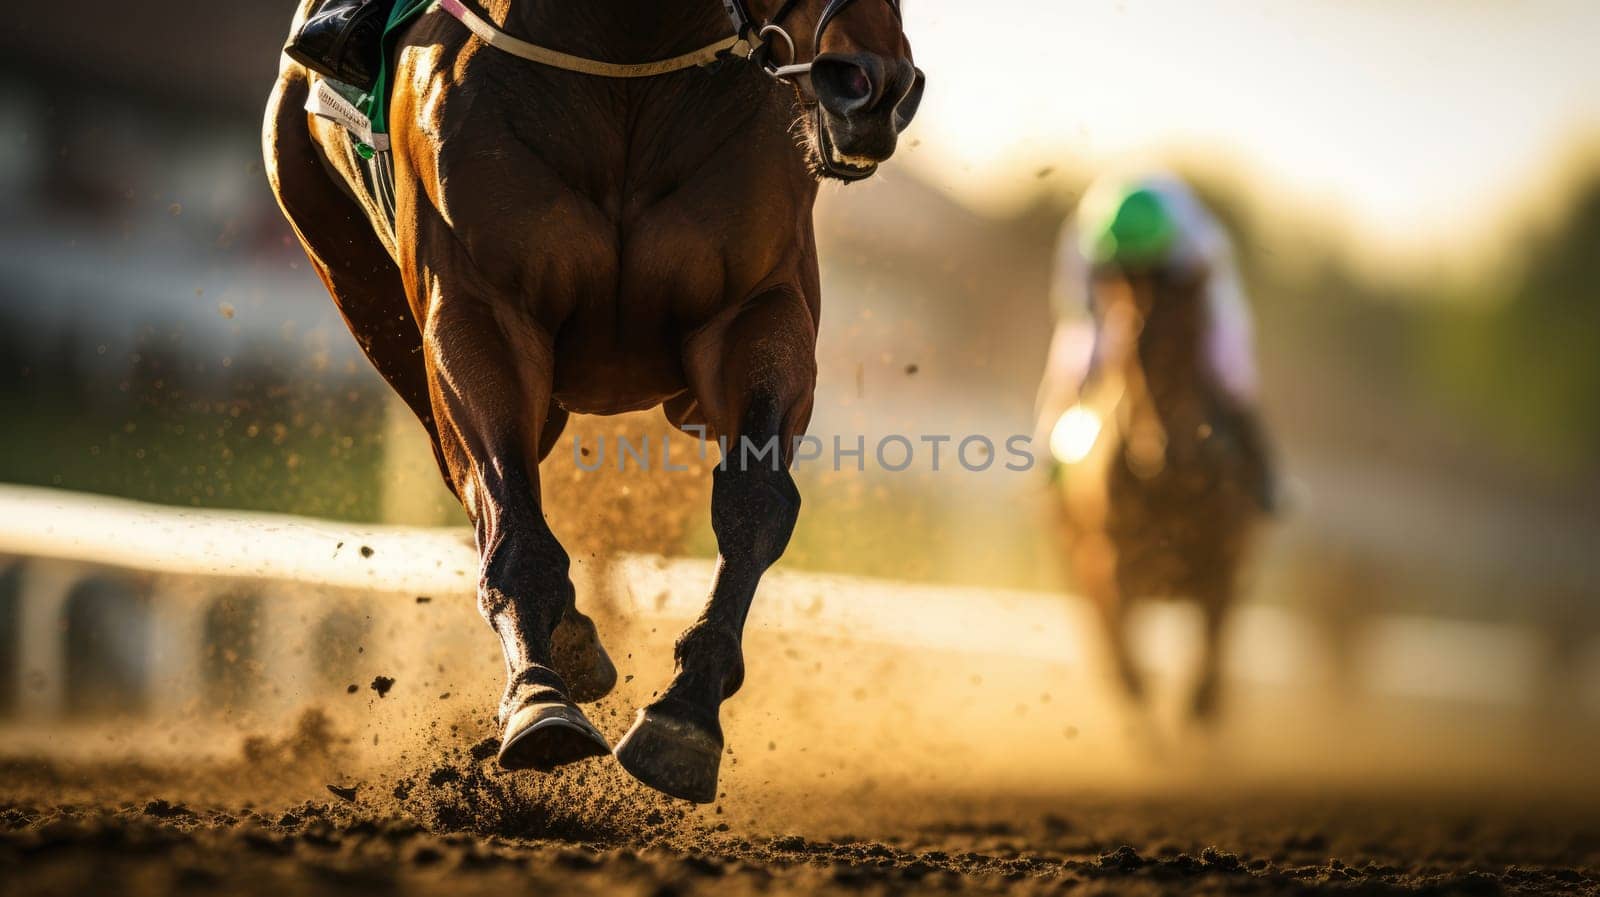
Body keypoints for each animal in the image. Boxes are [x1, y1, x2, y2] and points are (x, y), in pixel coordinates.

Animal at [1036, 175, 1273, 719]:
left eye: (1189, 343)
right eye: (1132, 354)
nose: (1169, 449)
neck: (1174, 487)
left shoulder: (1223, 571)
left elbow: (1204, 695)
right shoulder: (1113, 571)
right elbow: (1134, 682)